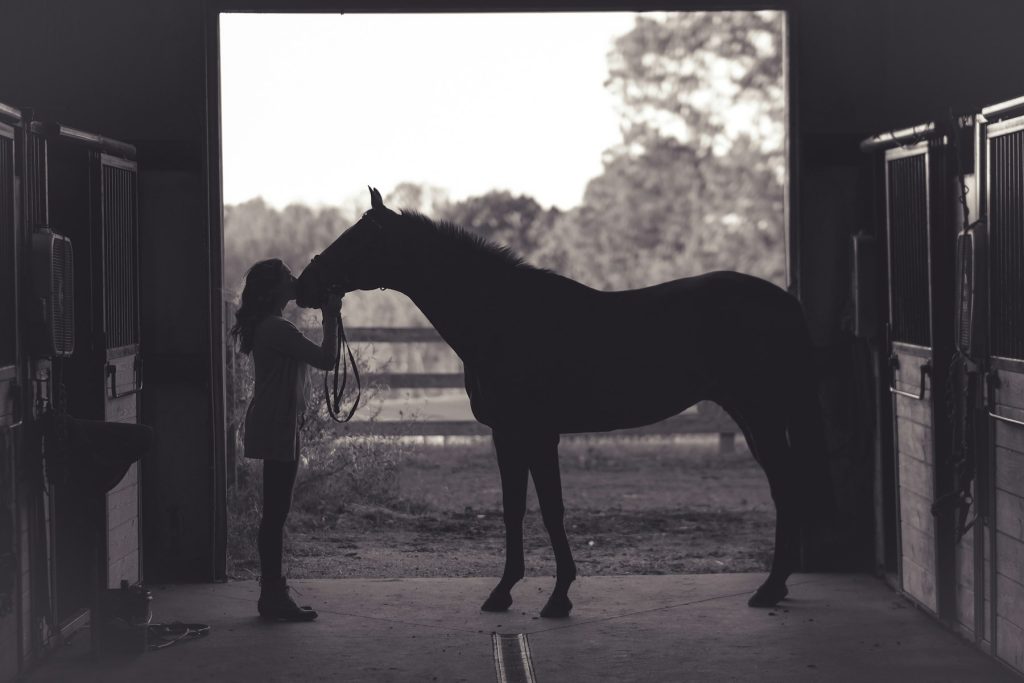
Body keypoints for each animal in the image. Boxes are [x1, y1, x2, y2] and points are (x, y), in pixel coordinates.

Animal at [296, 186, 832, 618]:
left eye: (358, 239)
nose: (304, 285)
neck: (503, 318)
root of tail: (783, 300)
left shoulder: (538, 433)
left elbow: (551, 509)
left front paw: (558, 598)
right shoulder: (506, 434)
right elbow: (514, 509)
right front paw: (503, 593)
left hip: (762, 415)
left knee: (786, 487)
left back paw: (770, 588)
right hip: (753, 416)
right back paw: (775, 587)